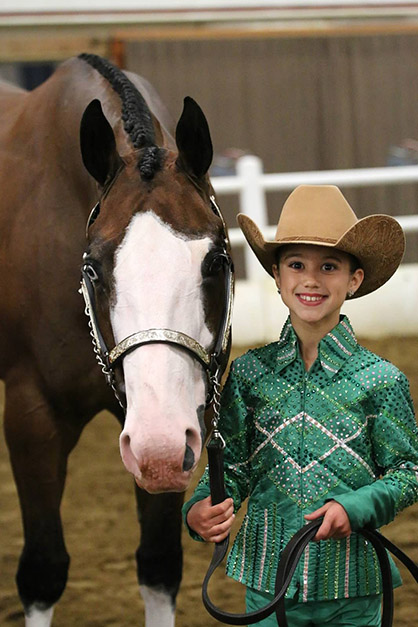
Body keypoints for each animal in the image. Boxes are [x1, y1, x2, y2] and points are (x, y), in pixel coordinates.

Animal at [0, 55, 232, 627]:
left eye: (217, 260)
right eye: (91, 268)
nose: (158, 446)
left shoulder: (182, 429)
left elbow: (159, 564)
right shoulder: (33, 418)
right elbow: (43, 571)